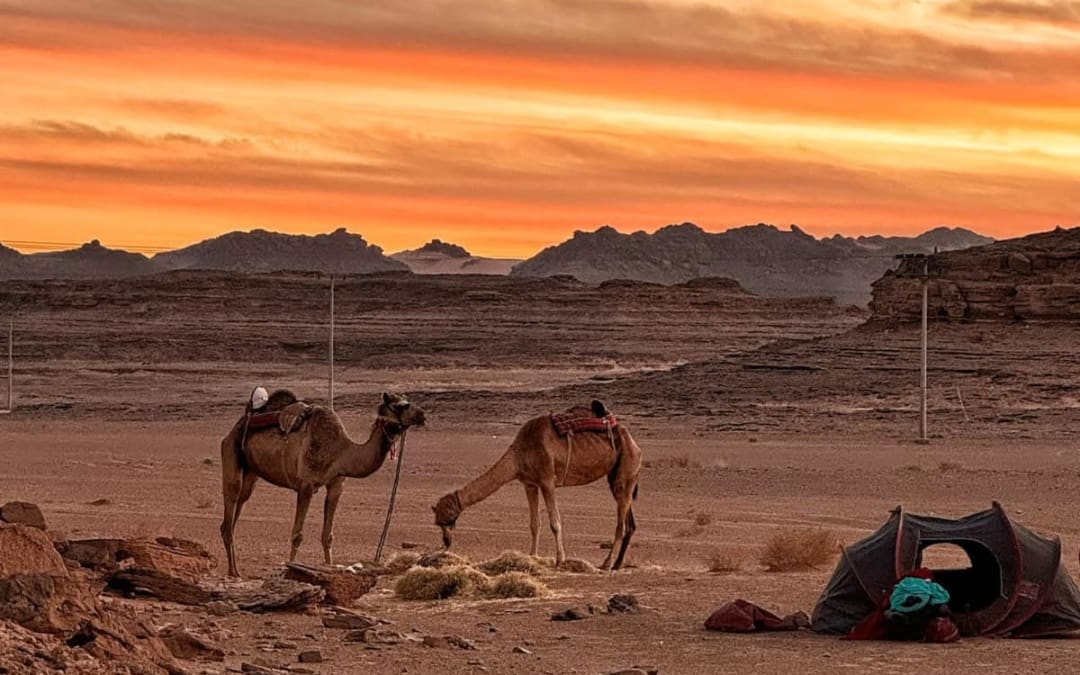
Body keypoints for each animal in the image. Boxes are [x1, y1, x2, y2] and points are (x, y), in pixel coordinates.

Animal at [220, 391, 425, 577]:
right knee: (231, 501)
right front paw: (291, 570)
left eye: (407, 401)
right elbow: (297, 535)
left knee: (237, 509)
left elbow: (327, 537)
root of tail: (234, 428)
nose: (422, 415)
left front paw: (329, 568)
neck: (340, 451)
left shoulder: (336, 485)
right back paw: (233, 571)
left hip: (251, 472)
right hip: (230, 452)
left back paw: (234, 568)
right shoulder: (306, 485)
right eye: (400, 406)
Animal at [433, 400, 642, 570]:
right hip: (618, 475)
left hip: (626, 467)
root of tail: (634, 443)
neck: (519, 456)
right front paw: (532, 556)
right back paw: (618, 564)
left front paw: (560, 560)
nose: (446, 541)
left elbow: (555, 523)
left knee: (621, 523)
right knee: (630, 523)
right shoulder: (530, 484)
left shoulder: (547, 480)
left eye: (445, 519)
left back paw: (606, 563)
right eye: (438, 522)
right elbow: (534, 523)